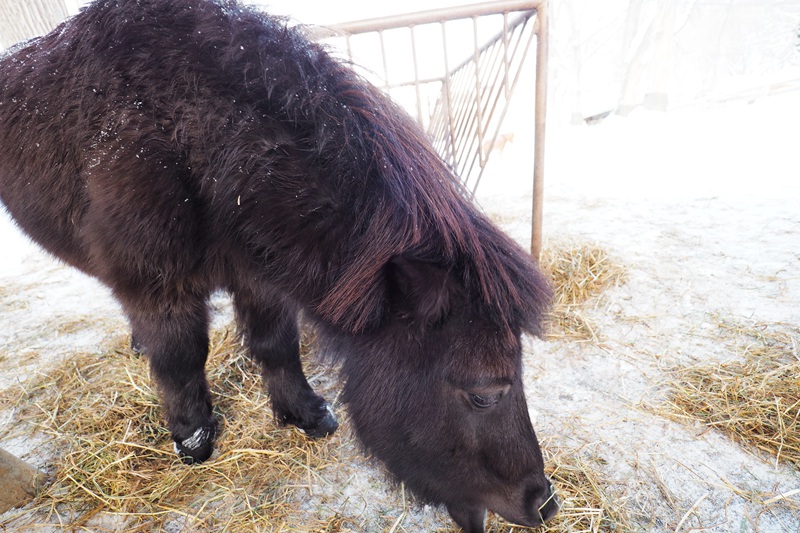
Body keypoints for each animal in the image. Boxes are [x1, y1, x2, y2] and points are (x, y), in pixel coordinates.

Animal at [0, 0, 560, 528]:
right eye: (483, 393)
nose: (544, 503)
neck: (188, 132)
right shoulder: (159, 286)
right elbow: (182, 356)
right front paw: (193, 439)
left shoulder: (258, 276)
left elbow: (276, 345)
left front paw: (306, 414)